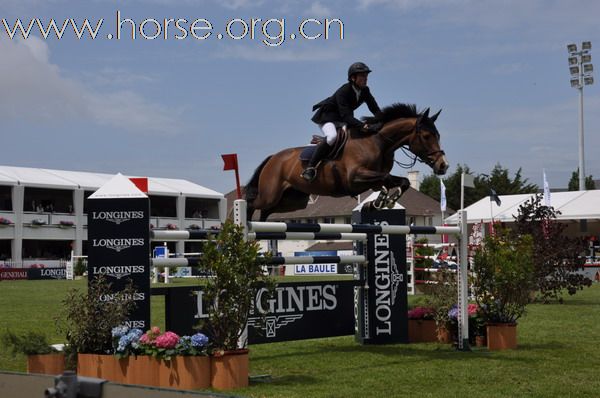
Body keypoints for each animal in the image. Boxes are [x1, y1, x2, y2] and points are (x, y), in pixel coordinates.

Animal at [243, 102, 446, 221]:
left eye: (438, 135)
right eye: (426, 136)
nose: (443, 165)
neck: (378, 142)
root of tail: (273, 158)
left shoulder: (372, 179)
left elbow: (398, 181)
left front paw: (379, 202)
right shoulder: (355, 178)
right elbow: (387, 179)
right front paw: (381, 201)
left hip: (293, 201)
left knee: (266, 211)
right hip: (271, 194)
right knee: (251, 203)